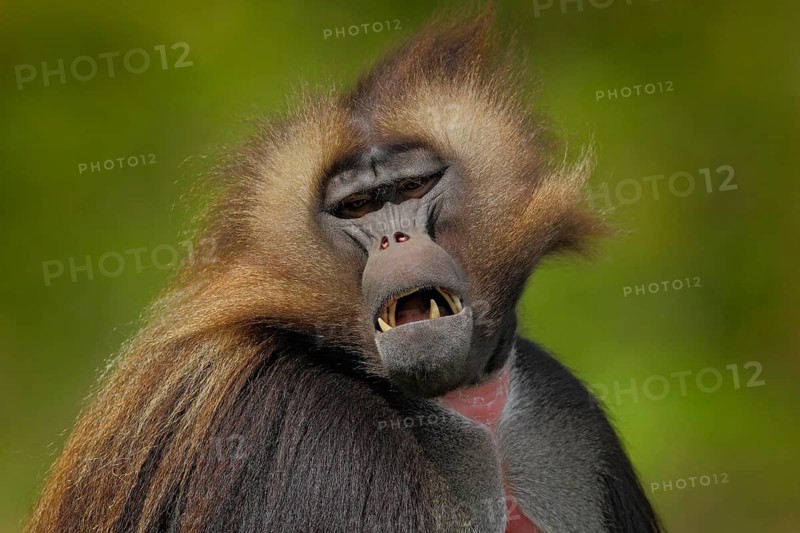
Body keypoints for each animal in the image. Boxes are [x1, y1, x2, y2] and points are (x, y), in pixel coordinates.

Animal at [26, 8, 661, 533]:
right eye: (357, 206)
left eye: (413, 187)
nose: (394, 239)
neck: (469, 409)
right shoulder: (318, 438)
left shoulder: (563, 407)